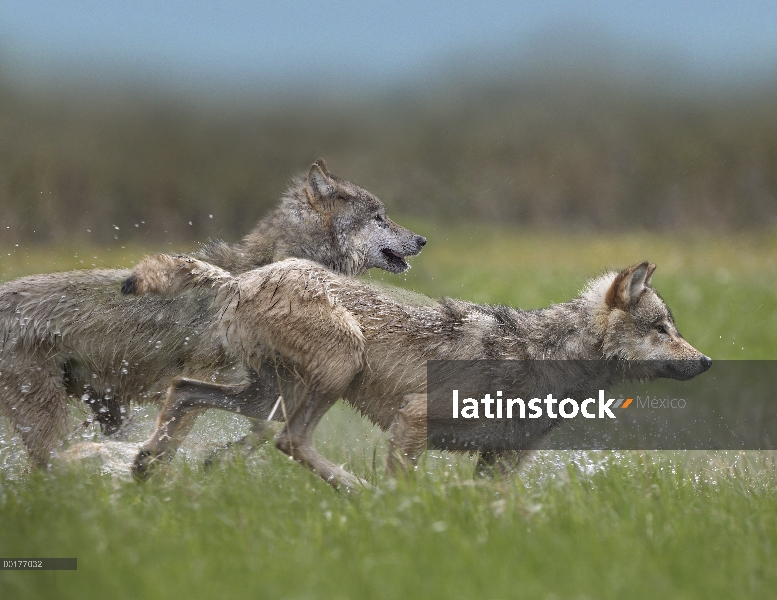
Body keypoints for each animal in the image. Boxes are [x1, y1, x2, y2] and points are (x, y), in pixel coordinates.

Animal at [0, 159, 424, 464]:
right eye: (379, 217)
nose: (421, 239)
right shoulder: (211, 377)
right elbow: (186, 430)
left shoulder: (264, 385)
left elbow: (262, 429)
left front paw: (215, 461)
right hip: (51, 414)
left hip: (105, 407)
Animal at [124, 254, 712, 488]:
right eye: (662, 328)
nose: (706, 360)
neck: (547, 358)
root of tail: (241, 278)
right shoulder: (413, 421)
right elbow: (404, 491)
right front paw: (399, 523)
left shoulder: (501, 462)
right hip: (335, 369)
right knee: (290, 441)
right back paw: (358, 491)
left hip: (266, 397)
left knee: (184, 391)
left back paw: (146, 468)